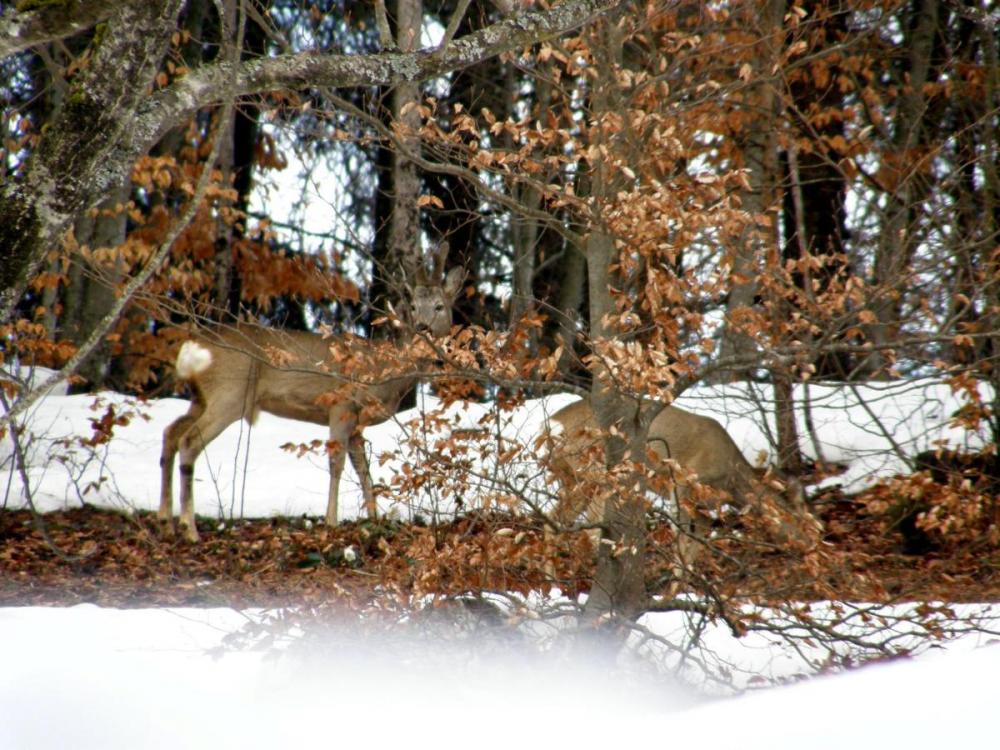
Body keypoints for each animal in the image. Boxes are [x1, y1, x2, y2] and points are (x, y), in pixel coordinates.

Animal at [159, 251, 464, 540]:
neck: (383, 372)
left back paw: (166, 520)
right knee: (189, 440)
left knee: (171, 432)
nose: (422, 328)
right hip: (229, 394)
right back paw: (189, 528)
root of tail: (192, 348)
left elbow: (363, 469)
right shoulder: (341, 405)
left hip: (201, 397)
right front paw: (331, 521)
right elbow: (337, 464)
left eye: (439, 306)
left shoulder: (357, 423)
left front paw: (375, 519)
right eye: (413, 307)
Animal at [548, 400, 820, 576]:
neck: (731, 480)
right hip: (595, 470)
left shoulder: (704, 509)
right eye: (809, 525)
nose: (813, 550)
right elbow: (680, 538)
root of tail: (553, 423)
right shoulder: (681, 483)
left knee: (554, 520)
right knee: (590, 527)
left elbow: (693, 548)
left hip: (571, 478)